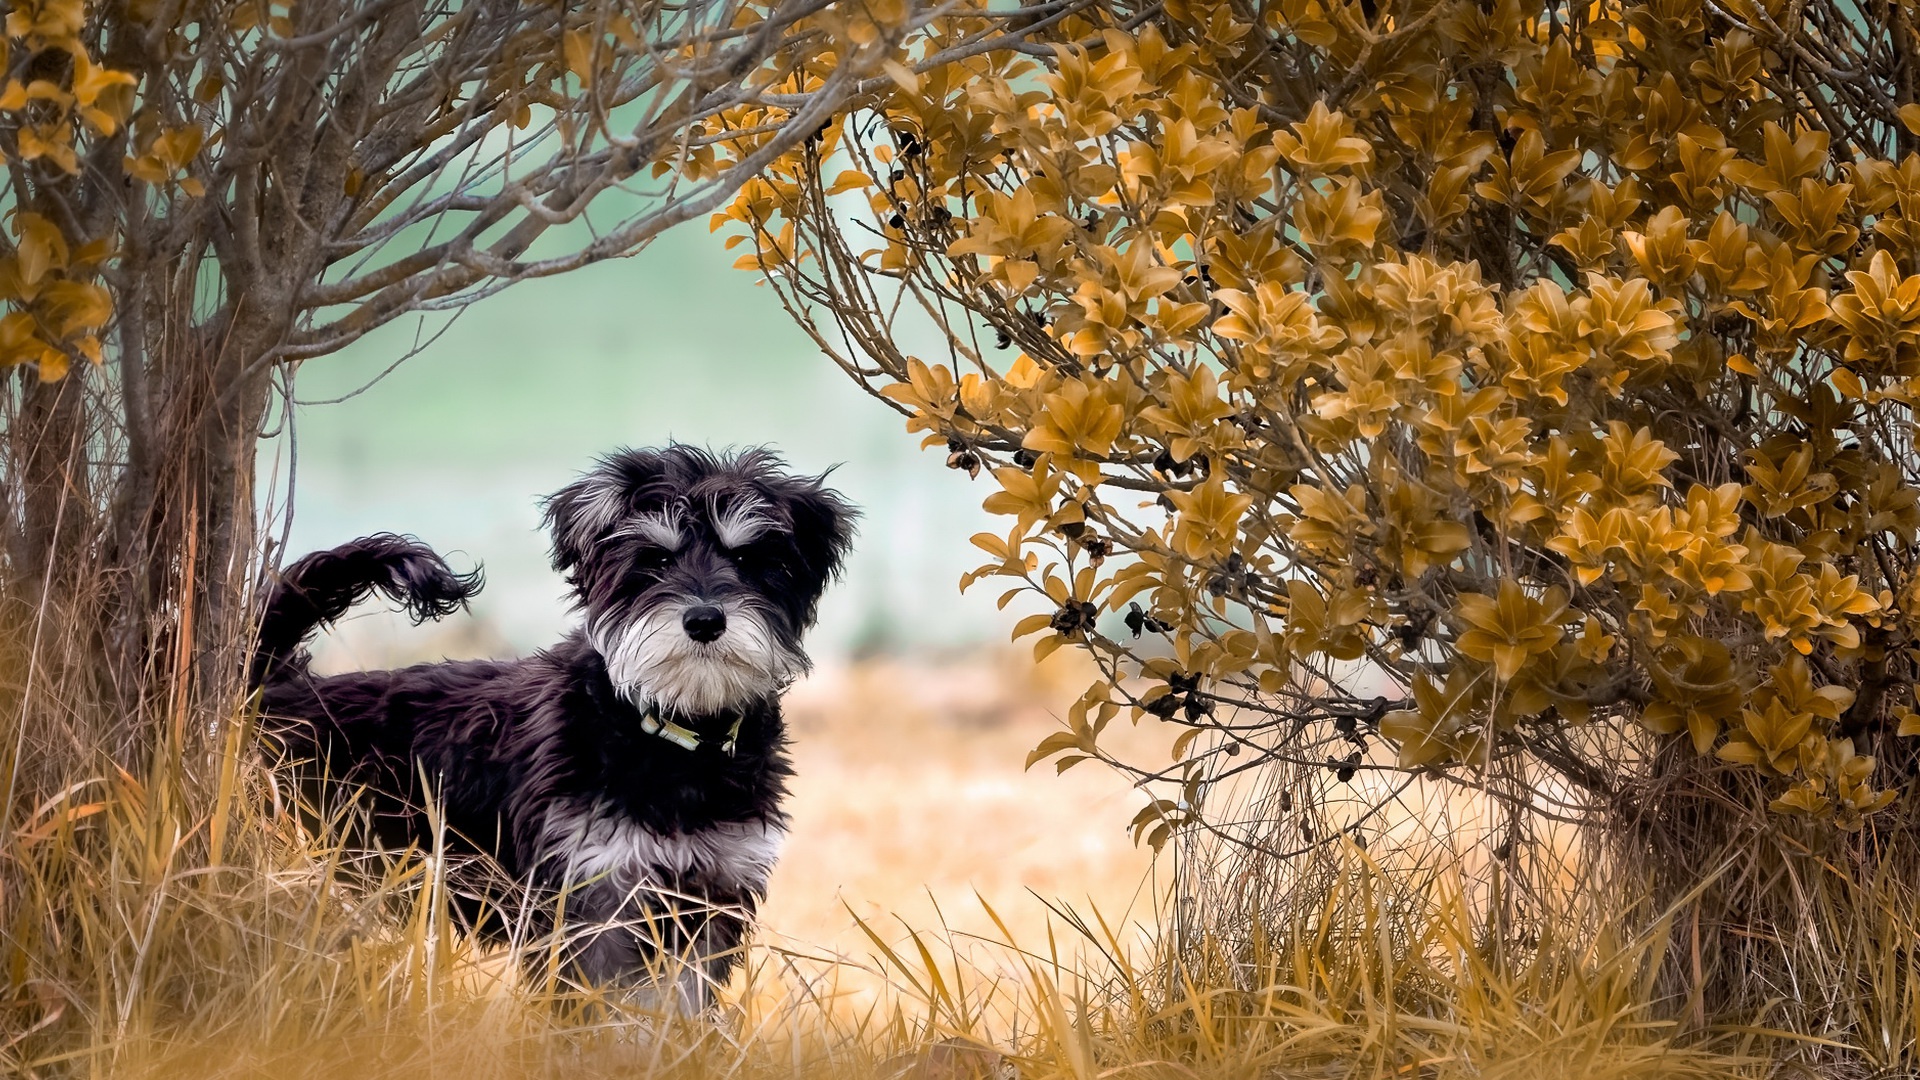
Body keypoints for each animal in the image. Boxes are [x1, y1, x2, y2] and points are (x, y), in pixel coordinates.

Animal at [251, 441, 852, 1006]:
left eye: (749, 558)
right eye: (654, 560)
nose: (704, 620)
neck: (675, 741)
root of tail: (271, 687)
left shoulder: (709, 901)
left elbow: (678, 1009)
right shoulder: (592, 901)